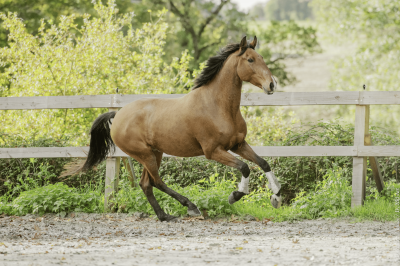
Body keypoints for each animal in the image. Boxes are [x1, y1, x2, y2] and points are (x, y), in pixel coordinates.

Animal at [70, 35, 282, 222]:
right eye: (250, 59)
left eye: (262, 58)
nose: (272, 84)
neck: (217, 106)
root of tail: (118, 115)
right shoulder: (213, 151)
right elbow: (244, 167)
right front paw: (236, 195)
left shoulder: (238, 144)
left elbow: (263, 163)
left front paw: (276, 197)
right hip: (144, 154)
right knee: (156, 181)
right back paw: (190, 207)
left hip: (155, 153)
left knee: (146, 184)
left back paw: (165, 216)